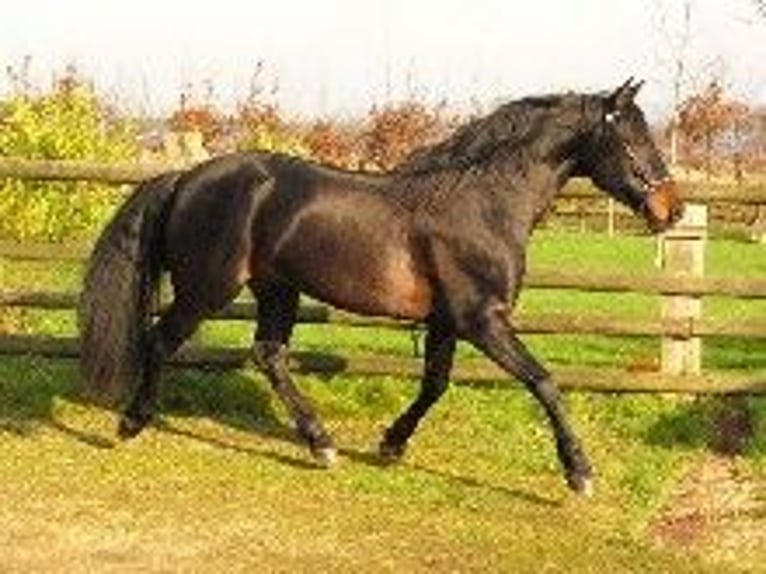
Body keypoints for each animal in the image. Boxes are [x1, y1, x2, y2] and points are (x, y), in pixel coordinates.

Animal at [82, 80, 684, 496]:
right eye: (630, 139)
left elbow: (435, 385)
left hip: (278, 289)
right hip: (208, 288)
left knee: (269, 354)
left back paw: (322, 445)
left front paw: (392, 443)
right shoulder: (482, 320)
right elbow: (545, 382)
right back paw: (130, 423)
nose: (671, 210)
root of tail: (186, 178)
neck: (484, 203)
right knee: (162, 341)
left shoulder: (446, 322)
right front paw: (579, 474)